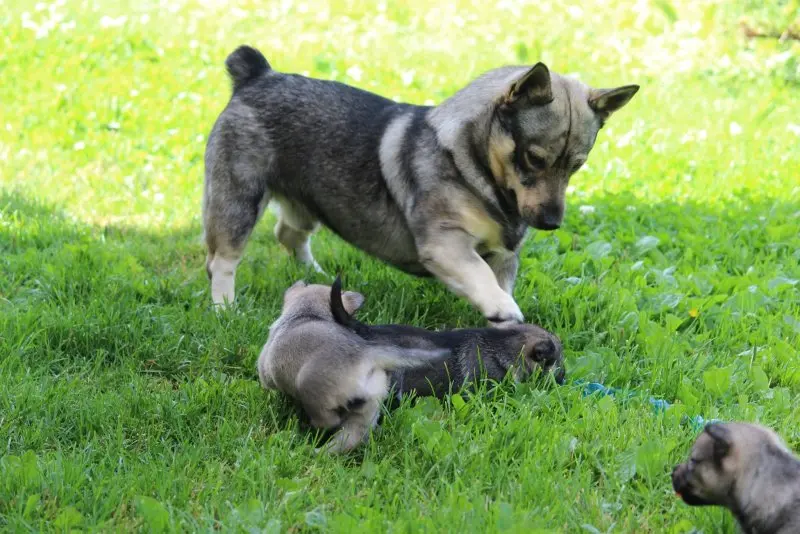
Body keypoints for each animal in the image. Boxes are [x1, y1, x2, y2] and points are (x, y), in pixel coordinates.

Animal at [205, 44, 636, 324]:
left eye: (577, 166)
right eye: (534, 158)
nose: (551, 222)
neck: (476, 172)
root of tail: (257, 75)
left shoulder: (502, 257)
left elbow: (497, 283)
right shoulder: (447, 244)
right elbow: (480, 277)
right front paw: (503, 309)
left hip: (306, 204)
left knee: (288, 234)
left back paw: (316, 275)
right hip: (238, 200)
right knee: (222, 260)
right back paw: (225, 307)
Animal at [260, 282, 454, 454]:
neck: (306, 314)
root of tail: (367, 354)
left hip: (311, 390)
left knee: (329, 421)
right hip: (365, 413)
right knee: (348, 439)